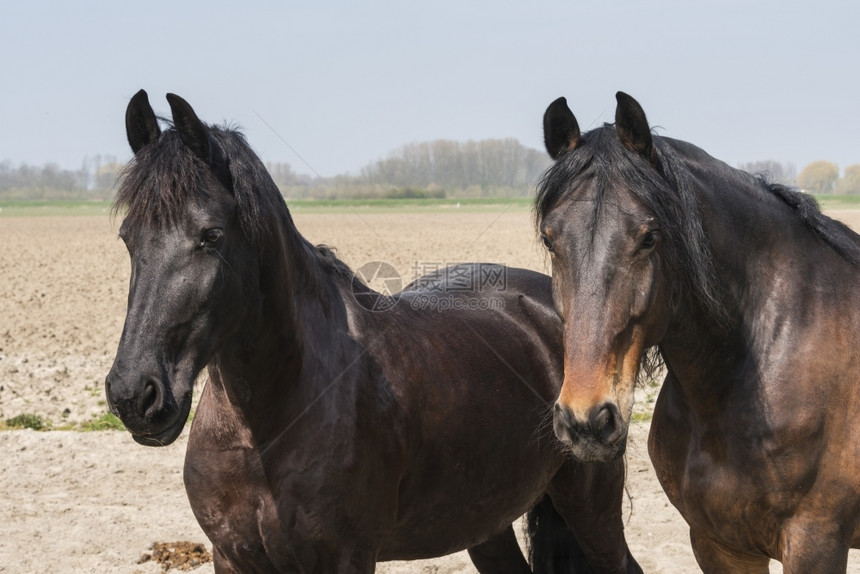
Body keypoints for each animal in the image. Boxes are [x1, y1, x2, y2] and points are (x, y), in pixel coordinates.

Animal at [104, 91, 640, 574]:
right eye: (128, 237)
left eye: (211, 235)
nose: (135, 395)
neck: (267, 424)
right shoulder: (233, 558)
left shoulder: (347, 557)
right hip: (484, 520)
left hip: (591, 506)